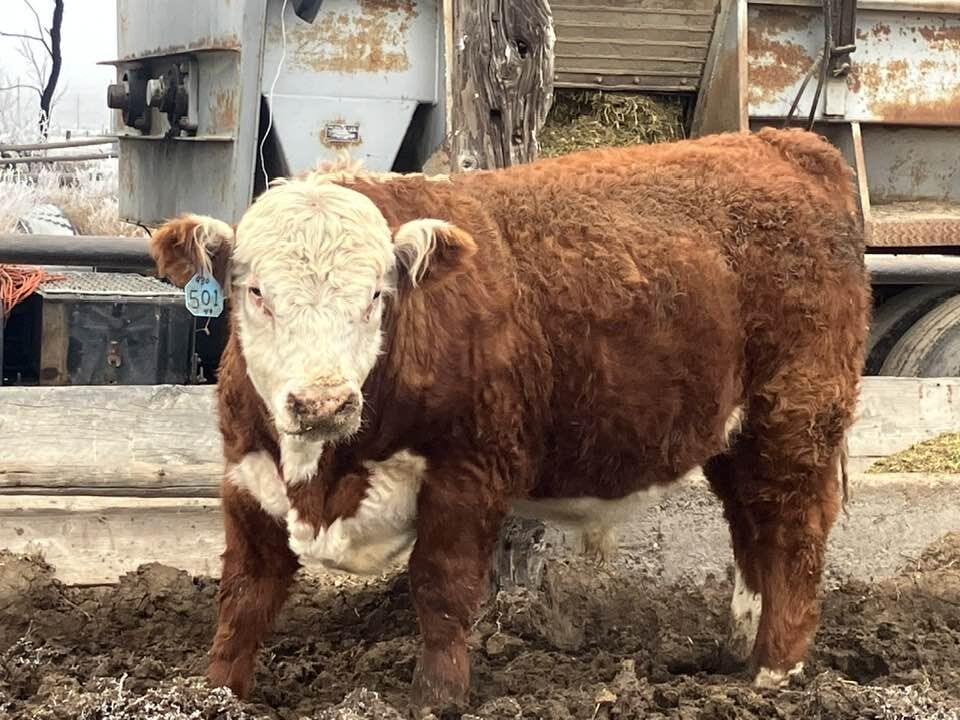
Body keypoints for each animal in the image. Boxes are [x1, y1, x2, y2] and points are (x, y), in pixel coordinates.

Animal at [149, 127, 871, 715]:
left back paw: (777, 672)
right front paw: (215, 693)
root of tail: (783, 145)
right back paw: (740, 652)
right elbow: (245, 594)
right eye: (256, 291)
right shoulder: (247, 479)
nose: (323, 401)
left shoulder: (470, 473)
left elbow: (441, 587)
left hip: (797, 418)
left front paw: (438, 699)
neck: (325, 474)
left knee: (794, 533)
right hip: (738, 436)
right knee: (753, 528)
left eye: (377, 295)